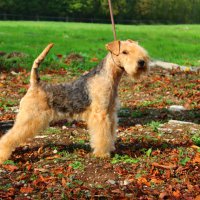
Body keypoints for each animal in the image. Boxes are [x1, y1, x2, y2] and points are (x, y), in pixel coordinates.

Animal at [0, 39, 148, 164]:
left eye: (138, 49)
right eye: (124, 52)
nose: (141, 62)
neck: (109, 77)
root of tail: (35, 83)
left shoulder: (110, 113)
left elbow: (110, 132)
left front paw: (110, 148)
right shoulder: (100, 114)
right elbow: (102, 134)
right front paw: (102, 154)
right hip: (30, 117)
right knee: (9, 136)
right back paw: (3, 157)